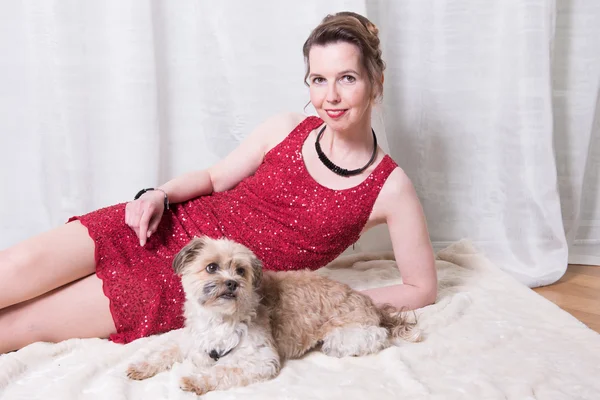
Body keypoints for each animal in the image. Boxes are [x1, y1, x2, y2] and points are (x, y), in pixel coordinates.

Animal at [124, 236, 420, 396]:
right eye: (211, 267)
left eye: (241, 271)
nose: (231, 283)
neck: (220, 318)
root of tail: (372, 304)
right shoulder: (193, 339)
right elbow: (164, 351)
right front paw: (141, 366)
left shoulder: (261, 359)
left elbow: (223, 369)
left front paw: (195, 380)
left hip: (344, 337)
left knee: (373, 337)